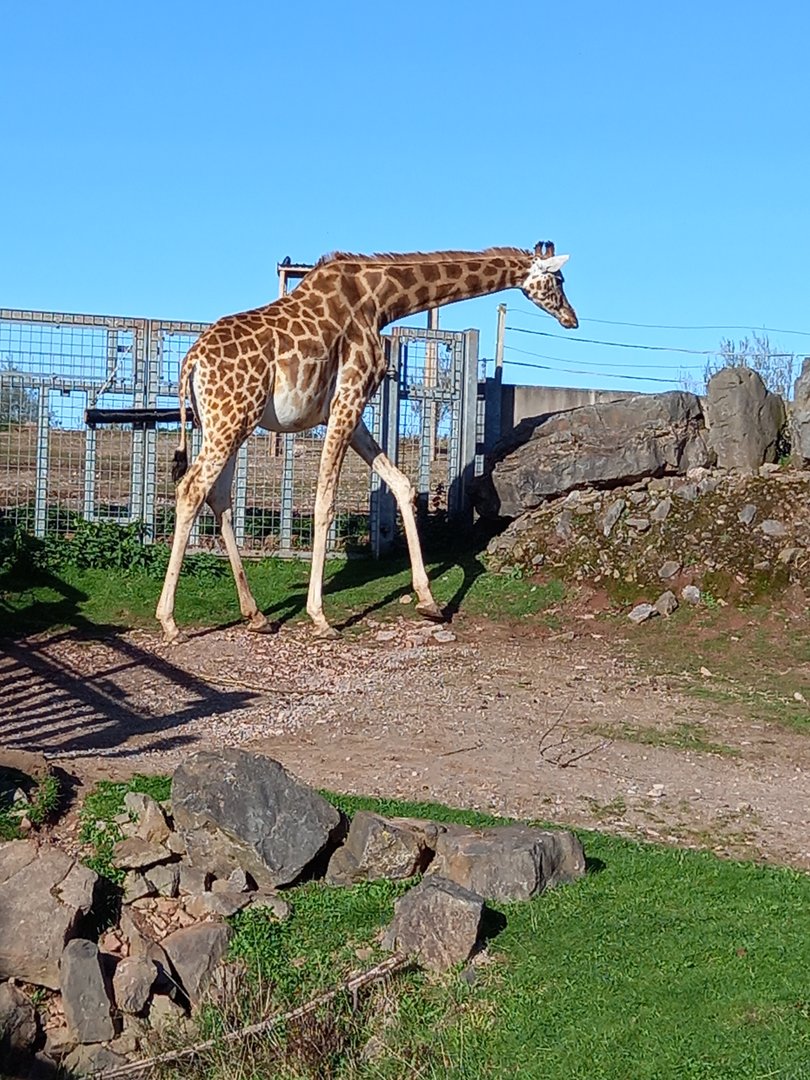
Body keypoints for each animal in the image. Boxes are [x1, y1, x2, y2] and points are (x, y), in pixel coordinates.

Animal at [156, 241, 578, 643]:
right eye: (558, 281)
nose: (572, 319)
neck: (380, 300)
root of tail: (190, 362)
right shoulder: (349, 398)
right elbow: (325, 503)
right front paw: (320, 618)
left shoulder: (351, 412)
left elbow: (402, 485)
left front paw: (429, 602)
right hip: (230, 421)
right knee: (192, 489)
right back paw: (170, 622)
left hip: (227, 424)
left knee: (218, 495)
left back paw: (256, 615)